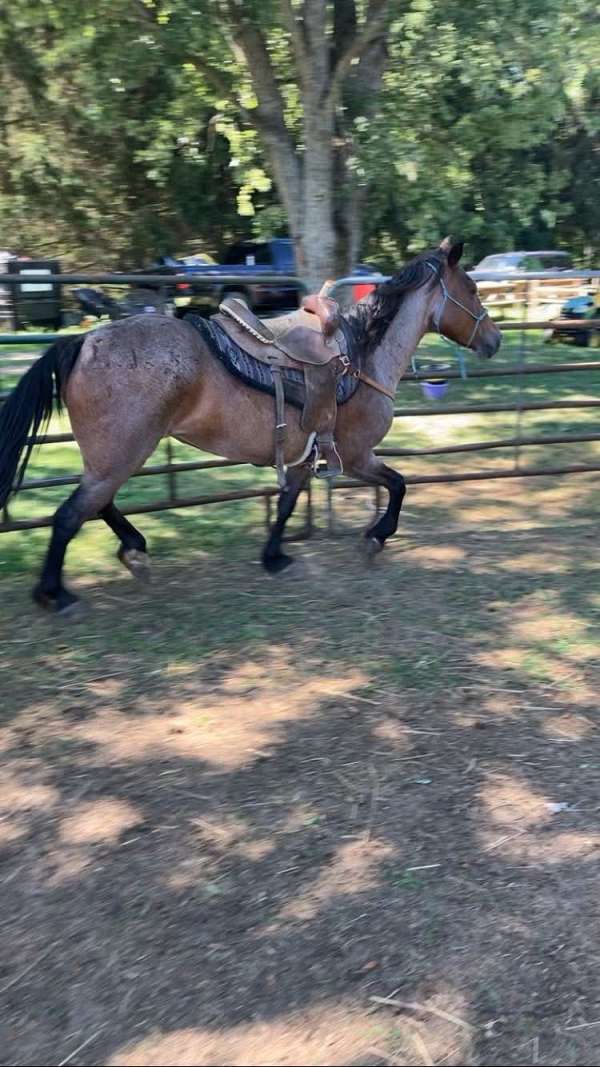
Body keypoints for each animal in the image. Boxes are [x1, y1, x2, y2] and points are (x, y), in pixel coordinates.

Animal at [0, 238, 501, 613]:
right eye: (472, 289)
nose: (494, 340)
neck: (362, 356)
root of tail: (84, 341)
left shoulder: (305, 458)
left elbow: (287, 504)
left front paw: (274, 555)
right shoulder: (356, 455)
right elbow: (398, 484)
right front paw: (376, 536)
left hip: (113, 456)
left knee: (98, 504)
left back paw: (134, 551)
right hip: (122, 454)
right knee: (72, 514)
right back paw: (55, 593)